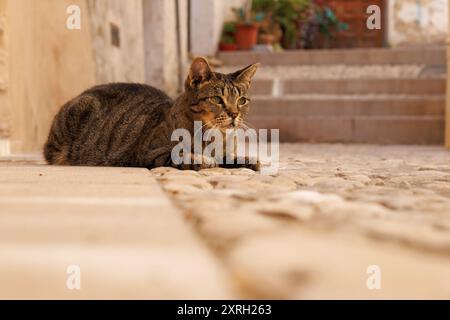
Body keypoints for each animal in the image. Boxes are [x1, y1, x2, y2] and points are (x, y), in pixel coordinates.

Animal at [43, 58, 260, 171]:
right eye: (216, 99)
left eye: (242, 100)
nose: (234, 113)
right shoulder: (150, 152)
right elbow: (180, 154)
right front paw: (202, 159)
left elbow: (230, 157)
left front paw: (246, 159)